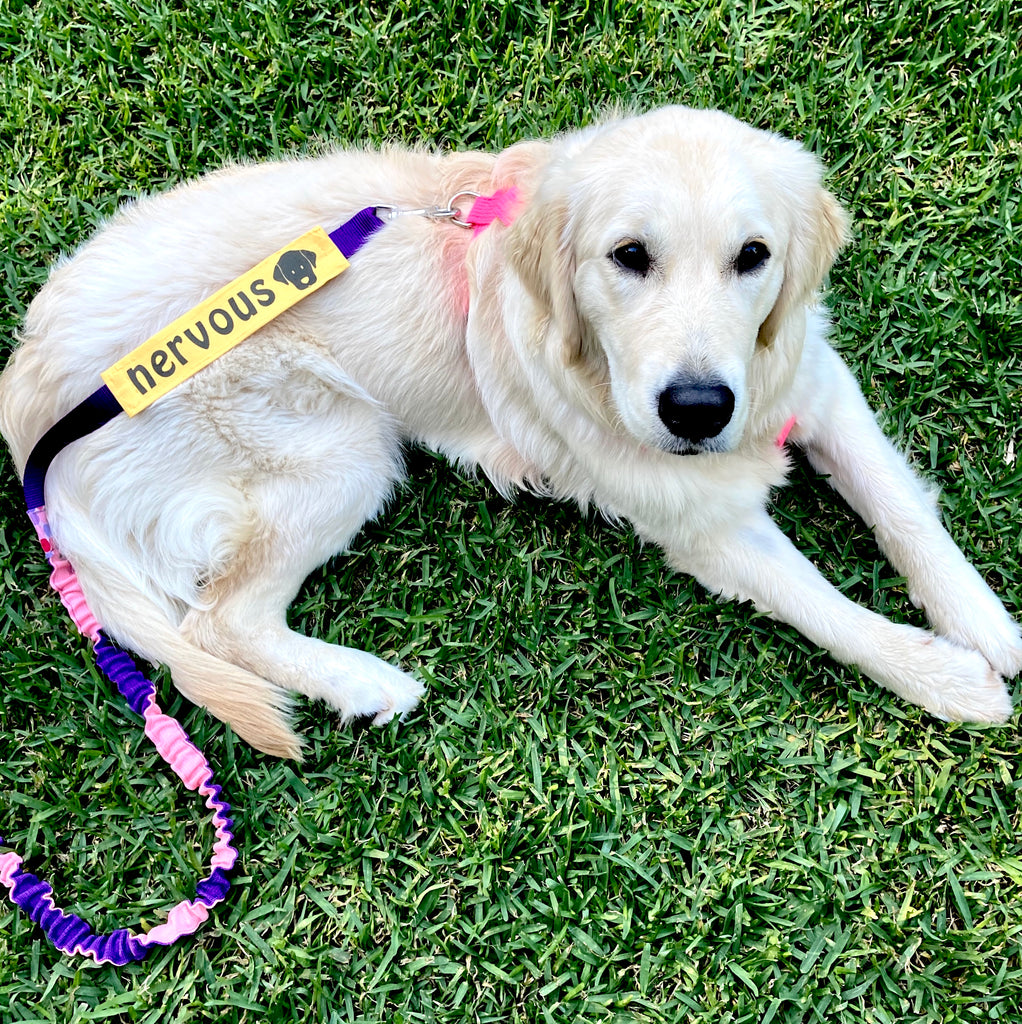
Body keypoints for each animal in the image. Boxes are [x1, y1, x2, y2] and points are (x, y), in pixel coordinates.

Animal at [2, 108, 1022, 757]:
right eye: (628, 256)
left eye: (754, 257)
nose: (697, 410)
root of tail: (28, 413)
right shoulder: (703, 524)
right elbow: (823, 605)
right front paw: (945, 676)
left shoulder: (814, 379)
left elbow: (901, 510)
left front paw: (984, 622)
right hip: (343, 447)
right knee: (219, 620)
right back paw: (363, 684)